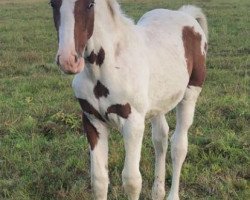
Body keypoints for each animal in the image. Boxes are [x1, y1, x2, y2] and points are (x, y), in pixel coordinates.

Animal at [49, 0, 208, 199]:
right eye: (52, 4)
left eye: (90, 4)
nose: (69, 61)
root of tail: (185, 15)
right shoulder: (92, 120)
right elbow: (99, 180)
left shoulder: (133, 123)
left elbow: (132, 180)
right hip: (157, 104)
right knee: (160, 139)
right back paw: (157, 191)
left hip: (189, 95)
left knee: (178, 146)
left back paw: (172, 194)